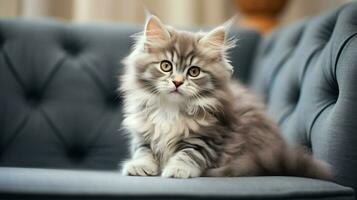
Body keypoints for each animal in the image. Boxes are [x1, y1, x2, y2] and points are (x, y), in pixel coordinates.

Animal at [118, 14, 330, 179]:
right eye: (165, 66)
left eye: (194, 71)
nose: (177, 82)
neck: (171, 108)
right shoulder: (143, 131)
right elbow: (143, 149)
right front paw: (140, 166)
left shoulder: (210, 136)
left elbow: (189, 153)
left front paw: (177, 169)